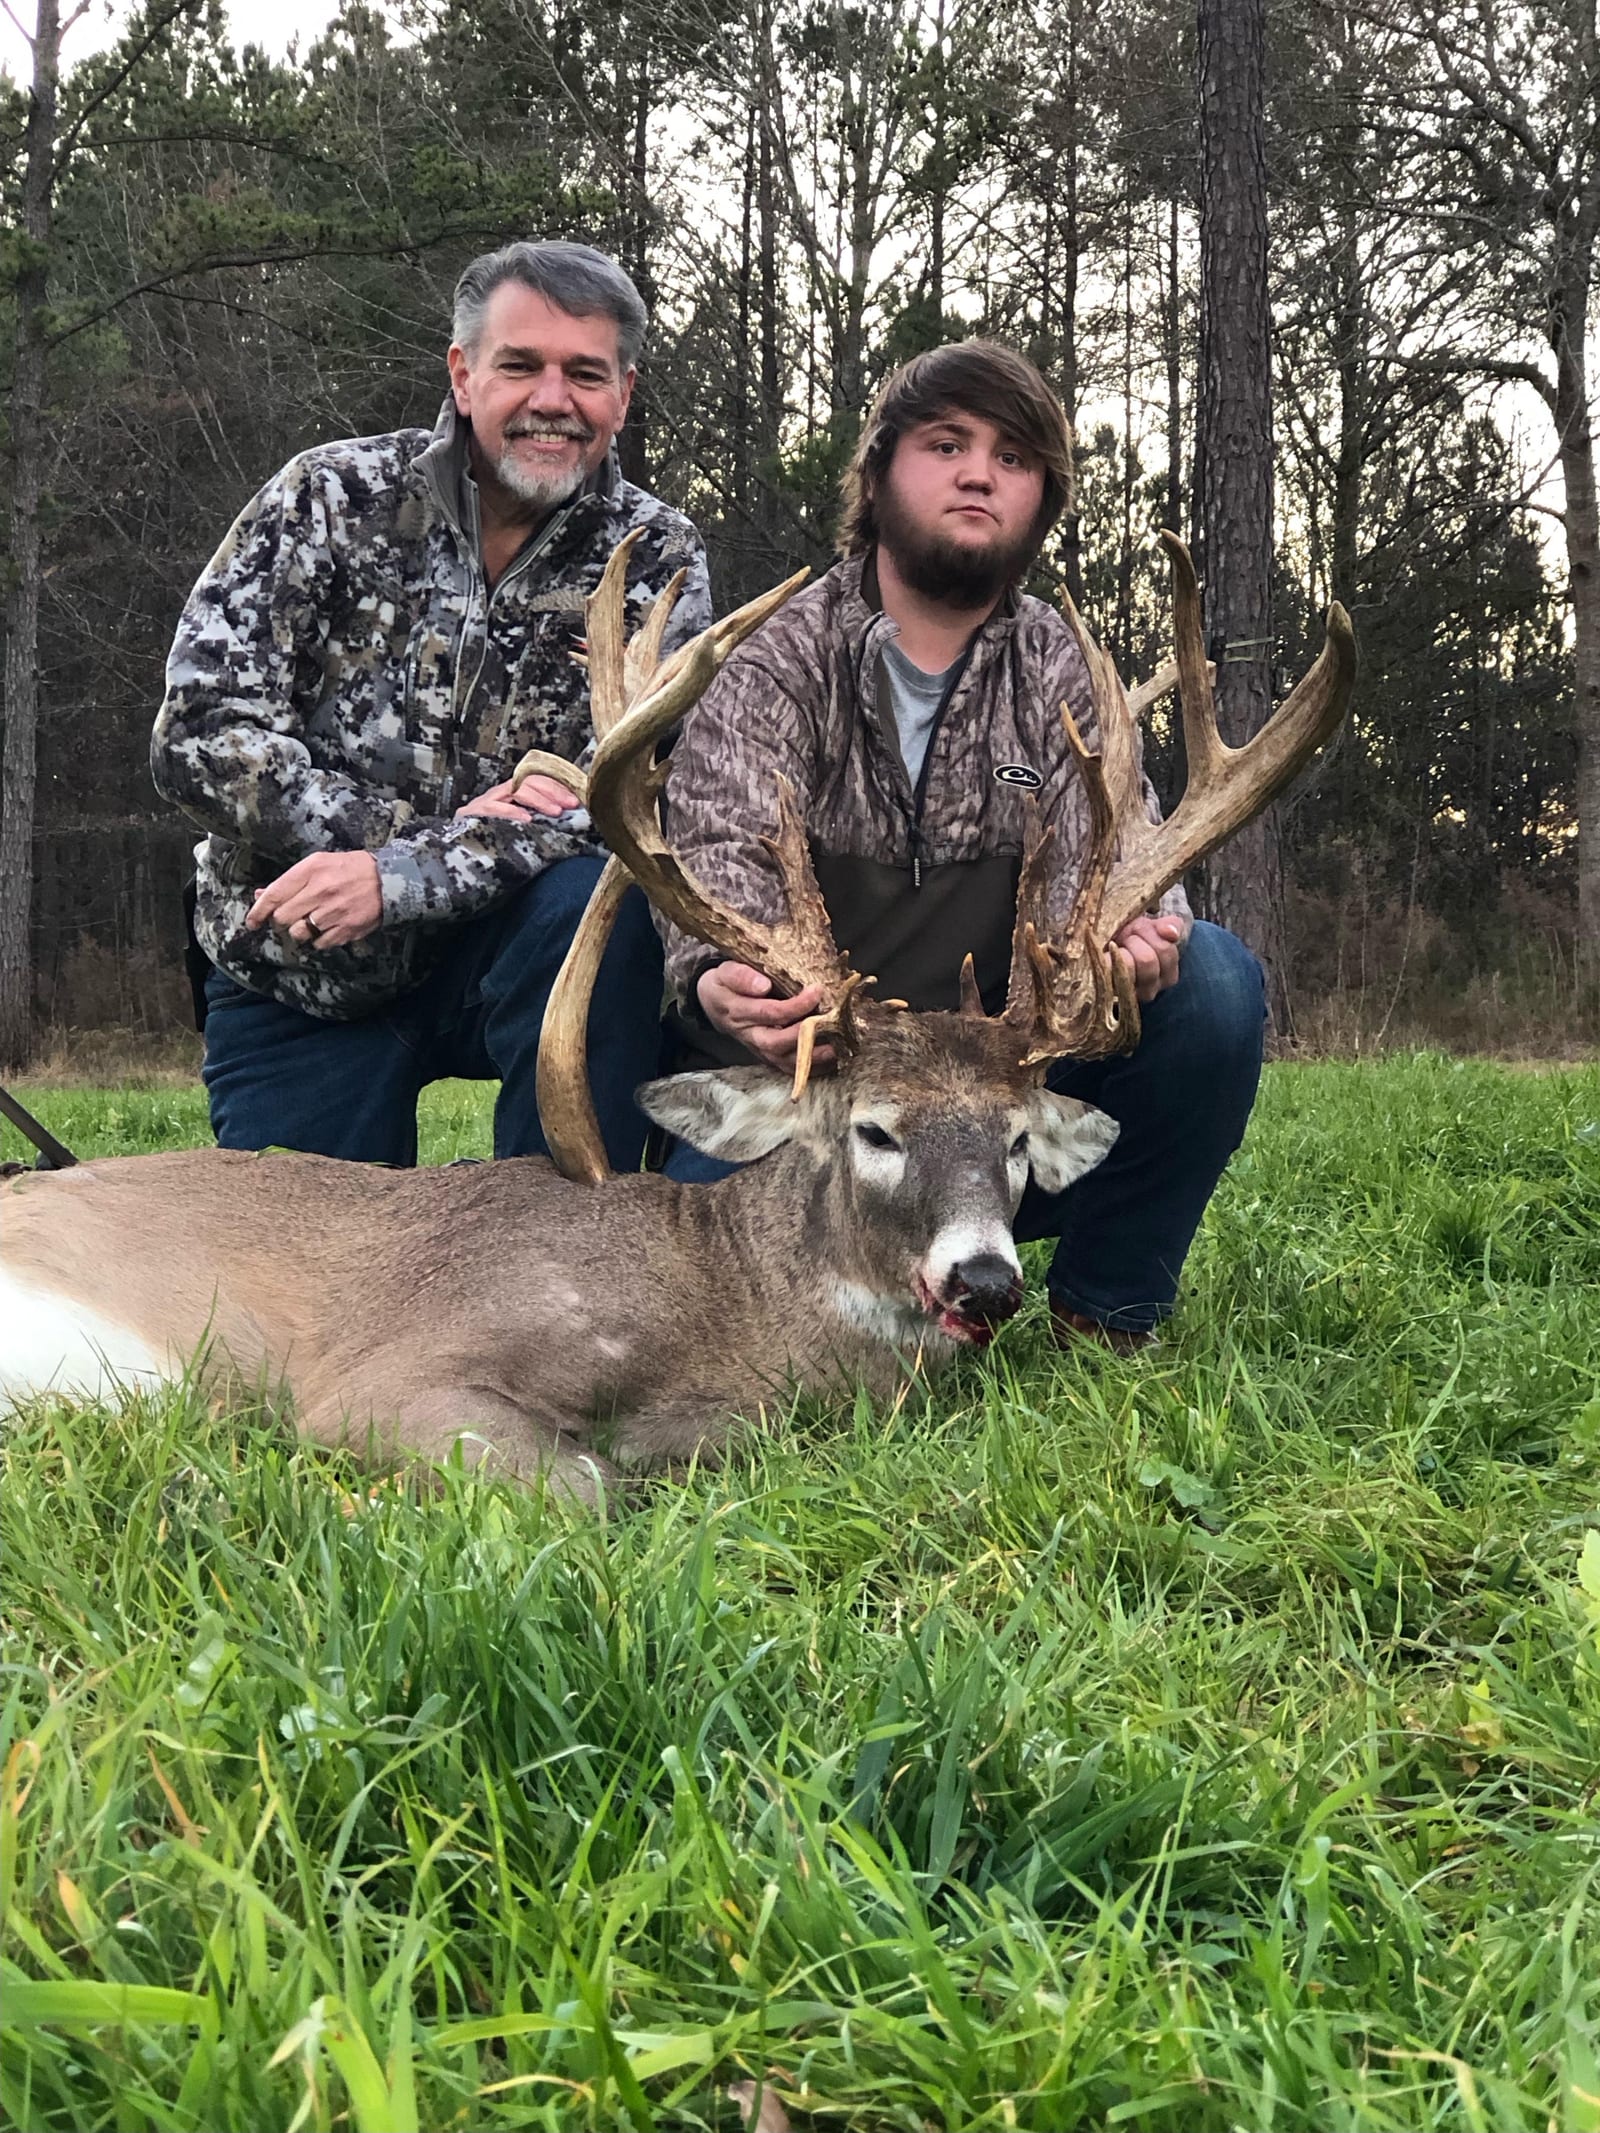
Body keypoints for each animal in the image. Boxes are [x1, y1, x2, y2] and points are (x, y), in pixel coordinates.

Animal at [0, 534, 1354, 1499]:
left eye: (1018, 1142)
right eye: (873, 1129)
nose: (984, 1282)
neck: (720, 1318)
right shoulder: (383, 1375)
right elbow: (589, 1485)